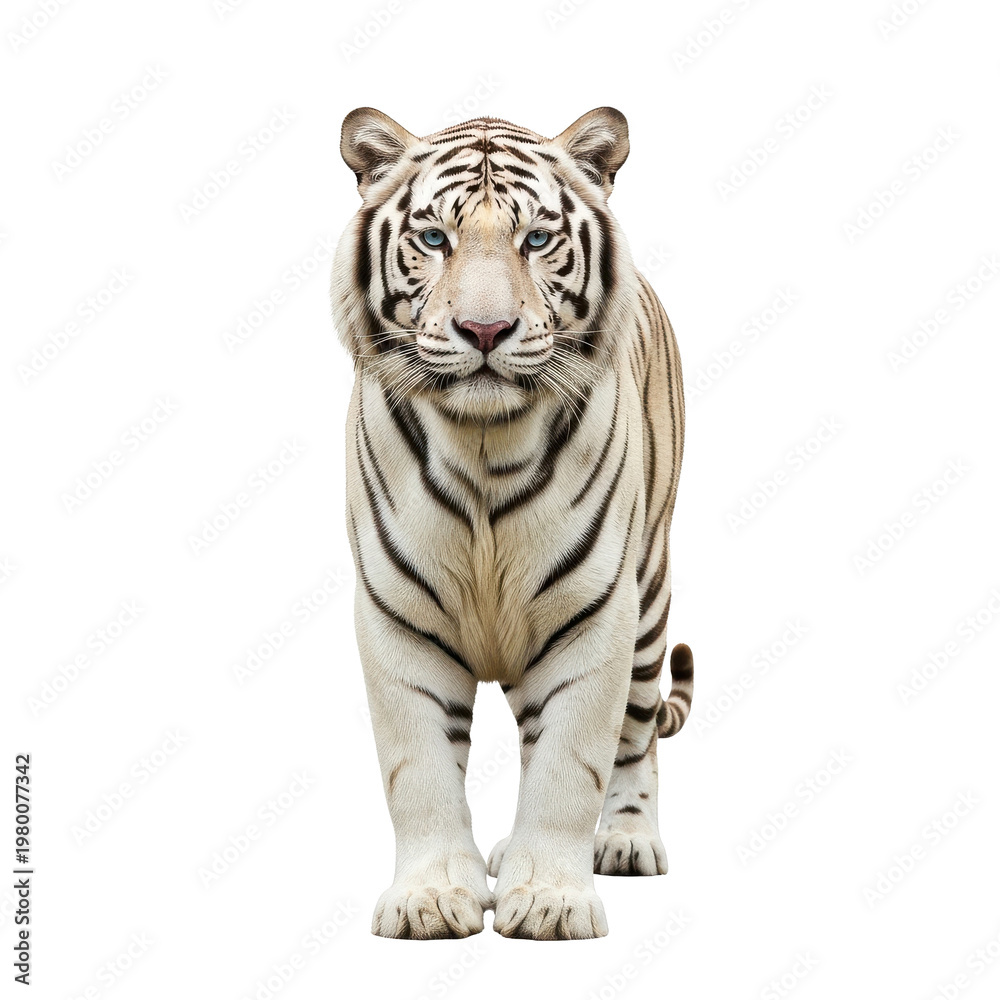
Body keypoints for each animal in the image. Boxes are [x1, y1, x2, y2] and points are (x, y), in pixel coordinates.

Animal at [330, 106, 692, 941]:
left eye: (536, 239)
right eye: (435, 238)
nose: (486, 330)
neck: (483, 440)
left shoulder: (597, 611)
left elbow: (571, 764)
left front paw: (553, 901)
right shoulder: (395, 614)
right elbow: (418, 769)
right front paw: (431, 898)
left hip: (651, 597)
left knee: (634, 737)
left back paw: (626, 840)